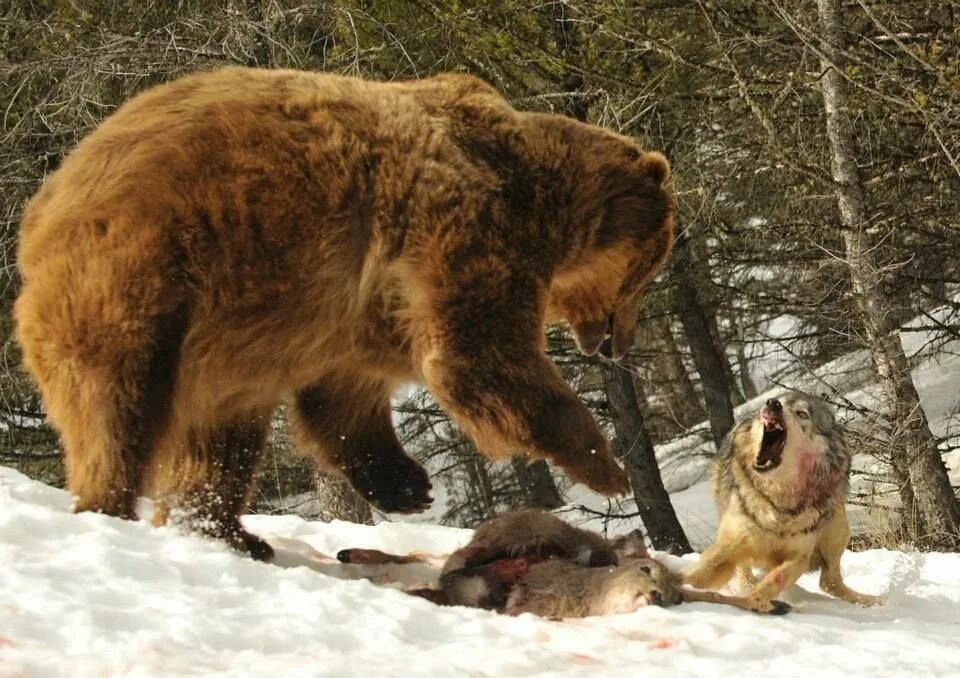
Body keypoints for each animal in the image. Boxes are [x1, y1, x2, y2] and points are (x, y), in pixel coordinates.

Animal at [15, 66, 676, 560]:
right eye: (648, 269)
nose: (616, 343)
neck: (542, 199)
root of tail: (40, 209)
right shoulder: (466, 229)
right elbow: (478, 356)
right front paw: (606, 464)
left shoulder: (353, 310)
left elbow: (345, 395)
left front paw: (407, 484)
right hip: (144, 273)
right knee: (118, 404)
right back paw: (112, 506)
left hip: (222, 336)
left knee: (220, 438)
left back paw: (228, 531)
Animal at [688, 390, 880, 612]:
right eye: (777, 401)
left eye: (802, 414)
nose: (773, 404)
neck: (778, 502)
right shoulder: (731, 544)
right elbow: (699, 574)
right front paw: (678, 586)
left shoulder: (799, 557)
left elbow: (773, 582)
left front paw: (756, 602)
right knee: (745, 572)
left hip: (837, 529)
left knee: (830, 582)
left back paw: (871, 601)